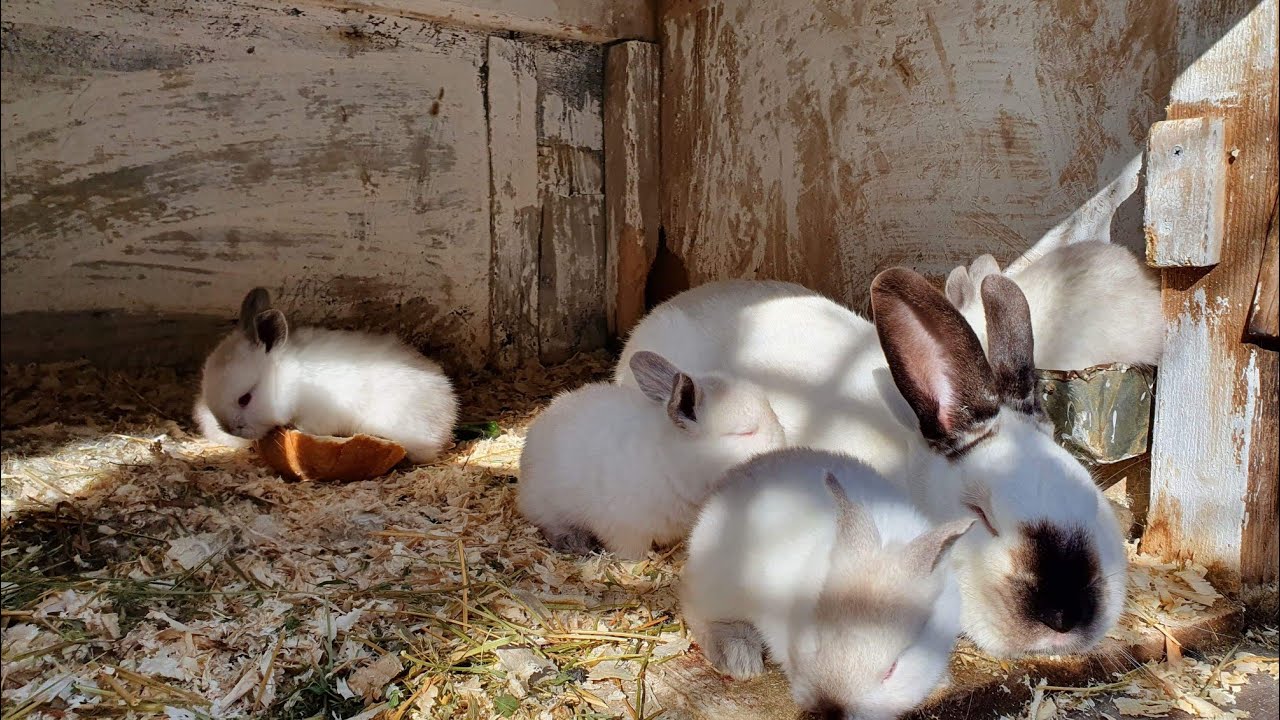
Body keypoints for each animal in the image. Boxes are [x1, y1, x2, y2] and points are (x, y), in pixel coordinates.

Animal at [518, 350, 785, 560]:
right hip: (546, 506)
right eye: (745, 432)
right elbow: (632, 554)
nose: (781, 443)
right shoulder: (625, 530)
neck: (670, 466)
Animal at [683, 447, 974, 719]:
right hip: (717, 587)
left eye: (891, 670)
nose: (831, 709)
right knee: (694, 608)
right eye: (818, 638)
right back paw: (740, 658)